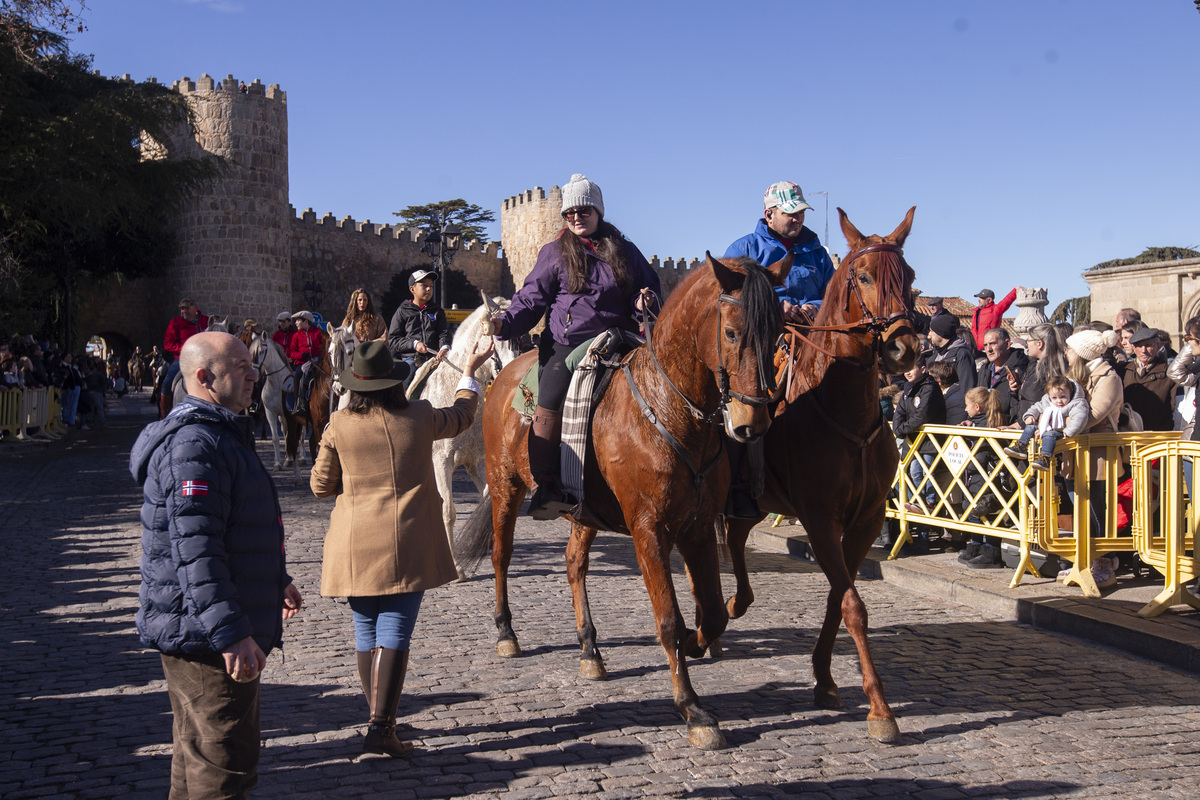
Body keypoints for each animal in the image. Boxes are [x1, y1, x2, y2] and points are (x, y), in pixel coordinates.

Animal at [247, 331, 302, 482]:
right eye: (249, 352)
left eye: (261, 351)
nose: (253, 374)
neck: (278, 384)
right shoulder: (270, 413)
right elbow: (275, 438)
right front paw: (277, 463)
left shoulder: (289, 416)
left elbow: (292, 437)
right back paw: (287, 459)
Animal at [408, 293, 516, 575]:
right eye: (498, 336)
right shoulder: (442, 460)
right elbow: (449, 511)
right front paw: (456, 567)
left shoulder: (477, 461)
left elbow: (488, 495)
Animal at [463, 255, 792, 753]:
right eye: (733, 333)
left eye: (777, 334)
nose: (751, 422)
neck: (668, 407)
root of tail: (506, 374)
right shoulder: (648, 529)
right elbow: (669, 619)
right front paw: (692, 709)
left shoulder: (697, 527)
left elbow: (714, 612)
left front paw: (698, 644)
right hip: (505, 487)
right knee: (501, 556)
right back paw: (506, 631)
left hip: (583, 511)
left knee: (574, 563)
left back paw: (589, 648)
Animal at [720, 206, 916, 743]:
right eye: (864, 275)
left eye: (910, 276)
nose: (904, 349)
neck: (843, 409)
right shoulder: (820, 518)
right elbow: (852, 605)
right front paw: (880, 709)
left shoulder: (866, 520)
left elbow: (837, 597)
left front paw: (825, 679)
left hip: (756, 498)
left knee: (737, 537)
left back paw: (737, 603)